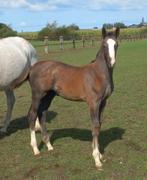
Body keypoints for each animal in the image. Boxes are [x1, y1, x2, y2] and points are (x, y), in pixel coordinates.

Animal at [27, 27, 119, 169]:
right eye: (104, 45)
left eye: (116, 45)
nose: (111, 62)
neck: (99, 74)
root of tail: (33, 67)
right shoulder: (93, 103)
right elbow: (95, 126)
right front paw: (96, 158)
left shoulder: (103, 102)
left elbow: (99, 125)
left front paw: (100, 154)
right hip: (37, 95)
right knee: (32, 115)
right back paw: (36, 149)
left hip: (48, 96)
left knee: (42, 114)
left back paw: (49, 145)